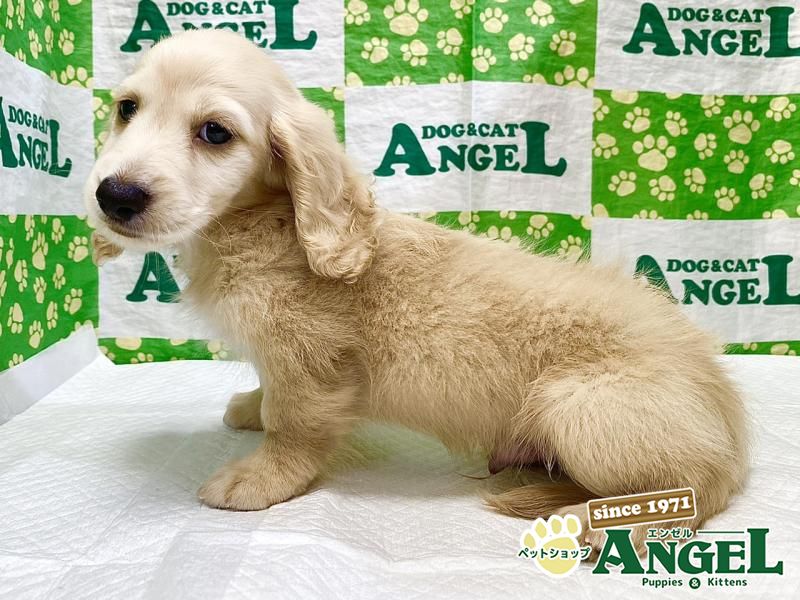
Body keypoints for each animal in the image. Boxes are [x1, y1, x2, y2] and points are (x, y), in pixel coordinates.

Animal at [85, 29, 748, 552]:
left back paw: (595, 521)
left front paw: (260, 478)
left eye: (215, 133)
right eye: (127, 108)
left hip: (580, 406)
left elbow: (291, 425)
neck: (261, 227)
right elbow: (269, 397)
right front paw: (250, 405)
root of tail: (733, 438)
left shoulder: (311, 368)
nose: (114, 195)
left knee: (685, 494)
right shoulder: (283, 361)